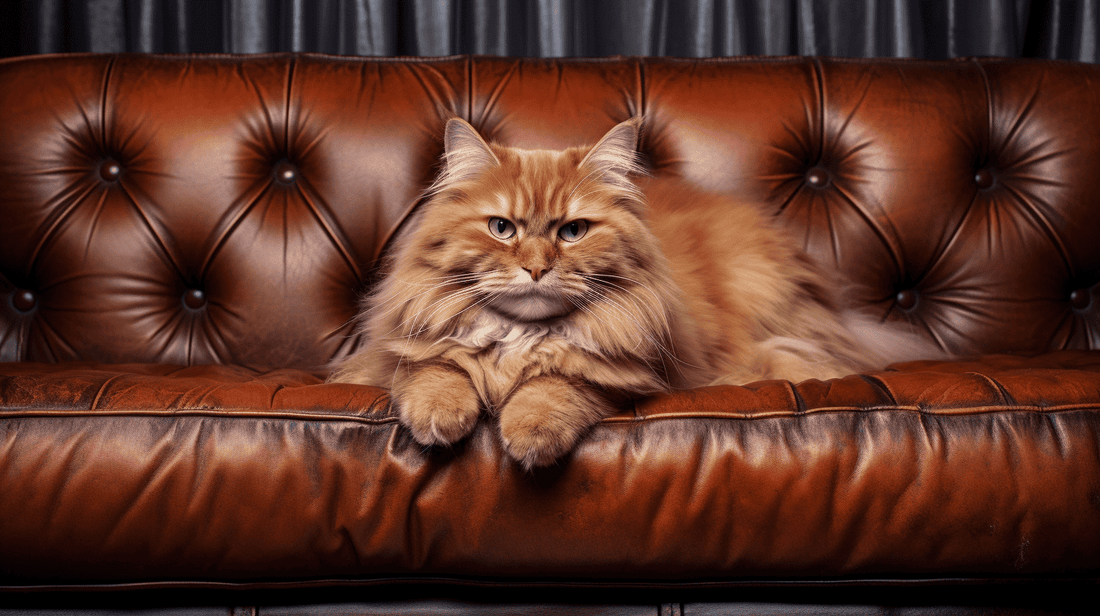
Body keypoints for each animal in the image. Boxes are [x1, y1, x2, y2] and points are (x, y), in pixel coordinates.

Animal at [330, 117, 941, 468]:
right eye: (502, 228)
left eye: (572, 231)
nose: (536, 268)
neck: (521, 337)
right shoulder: (395, 351)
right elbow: (435, 370)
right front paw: (440, 418)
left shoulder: (627, 373)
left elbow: (559, 384)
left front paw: (528, 433)